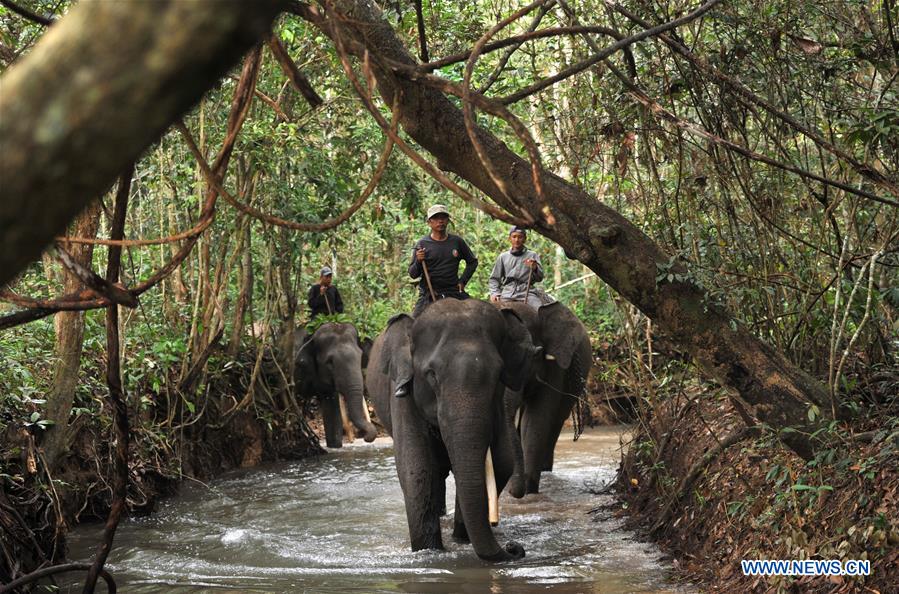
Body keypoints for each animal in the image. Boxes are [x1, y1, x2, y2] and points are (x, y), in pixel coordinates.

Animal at [366, 298, 540, 562]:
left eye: (497, 375)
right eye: (432, 375)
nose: (514, 547)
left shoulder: (498, 401)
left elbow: (502, 460)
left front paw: (462, 540)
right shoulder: (402, 394)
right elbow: (416, 468)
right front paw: (429, 551)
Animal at [496, 301, 593, 494]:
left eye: (533, 355)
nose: (512, 491)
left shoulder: (555, 365)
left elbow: (536, 418)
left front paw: (528, 490)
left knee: (555, 420)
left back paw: (544, 469)